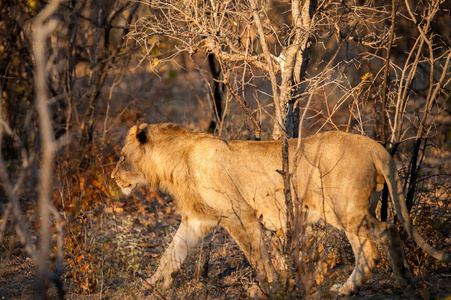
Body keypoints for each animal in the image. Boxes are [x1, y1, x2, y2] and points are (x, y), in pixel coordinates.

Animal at [111, 122, 450, 296]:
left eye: (123, 156)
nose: (113, 178)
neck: (175, 160)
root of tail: (375, 146)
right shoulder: (197, 220)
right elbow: (171, 254)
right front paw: (149, 285)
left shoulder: (239, 214)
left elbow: (257, 256)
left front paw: (268, 287)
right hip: (353, 210)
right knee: (375, 245)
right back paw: (361, 287)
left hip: (343, 211)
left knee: (382, 236)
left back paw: (387, 283)